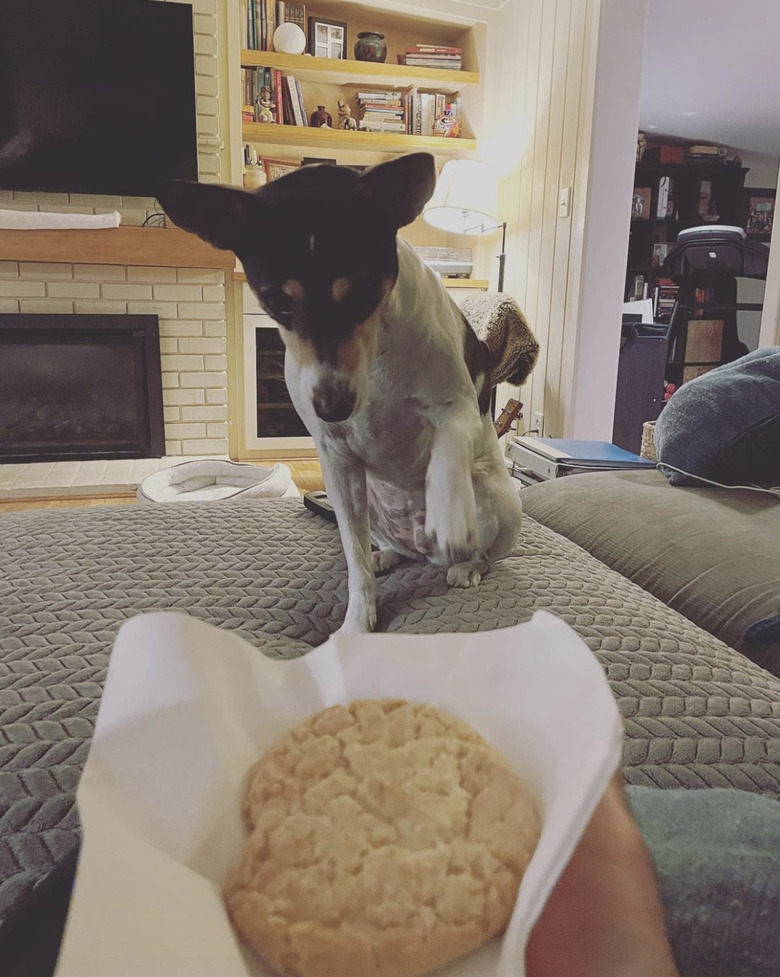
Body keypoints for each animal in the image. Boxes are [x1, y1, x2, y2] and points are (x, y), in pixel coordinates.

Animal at [158, 149, 524, 628]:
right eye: (276, 301)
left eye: (363, 291)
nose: (332, 408)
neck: (377, 356)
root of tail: (426, 555)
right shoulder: (336, 458)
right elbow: (355, 561)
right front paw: (357, 621)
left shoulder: (458, 407)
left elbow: (447, 452)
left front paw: (448, 514)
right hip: (363, 496)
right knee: (380, 546)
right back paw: (387, 554)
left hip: (501, 503)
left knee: (487, 552)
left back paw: (464, 564)